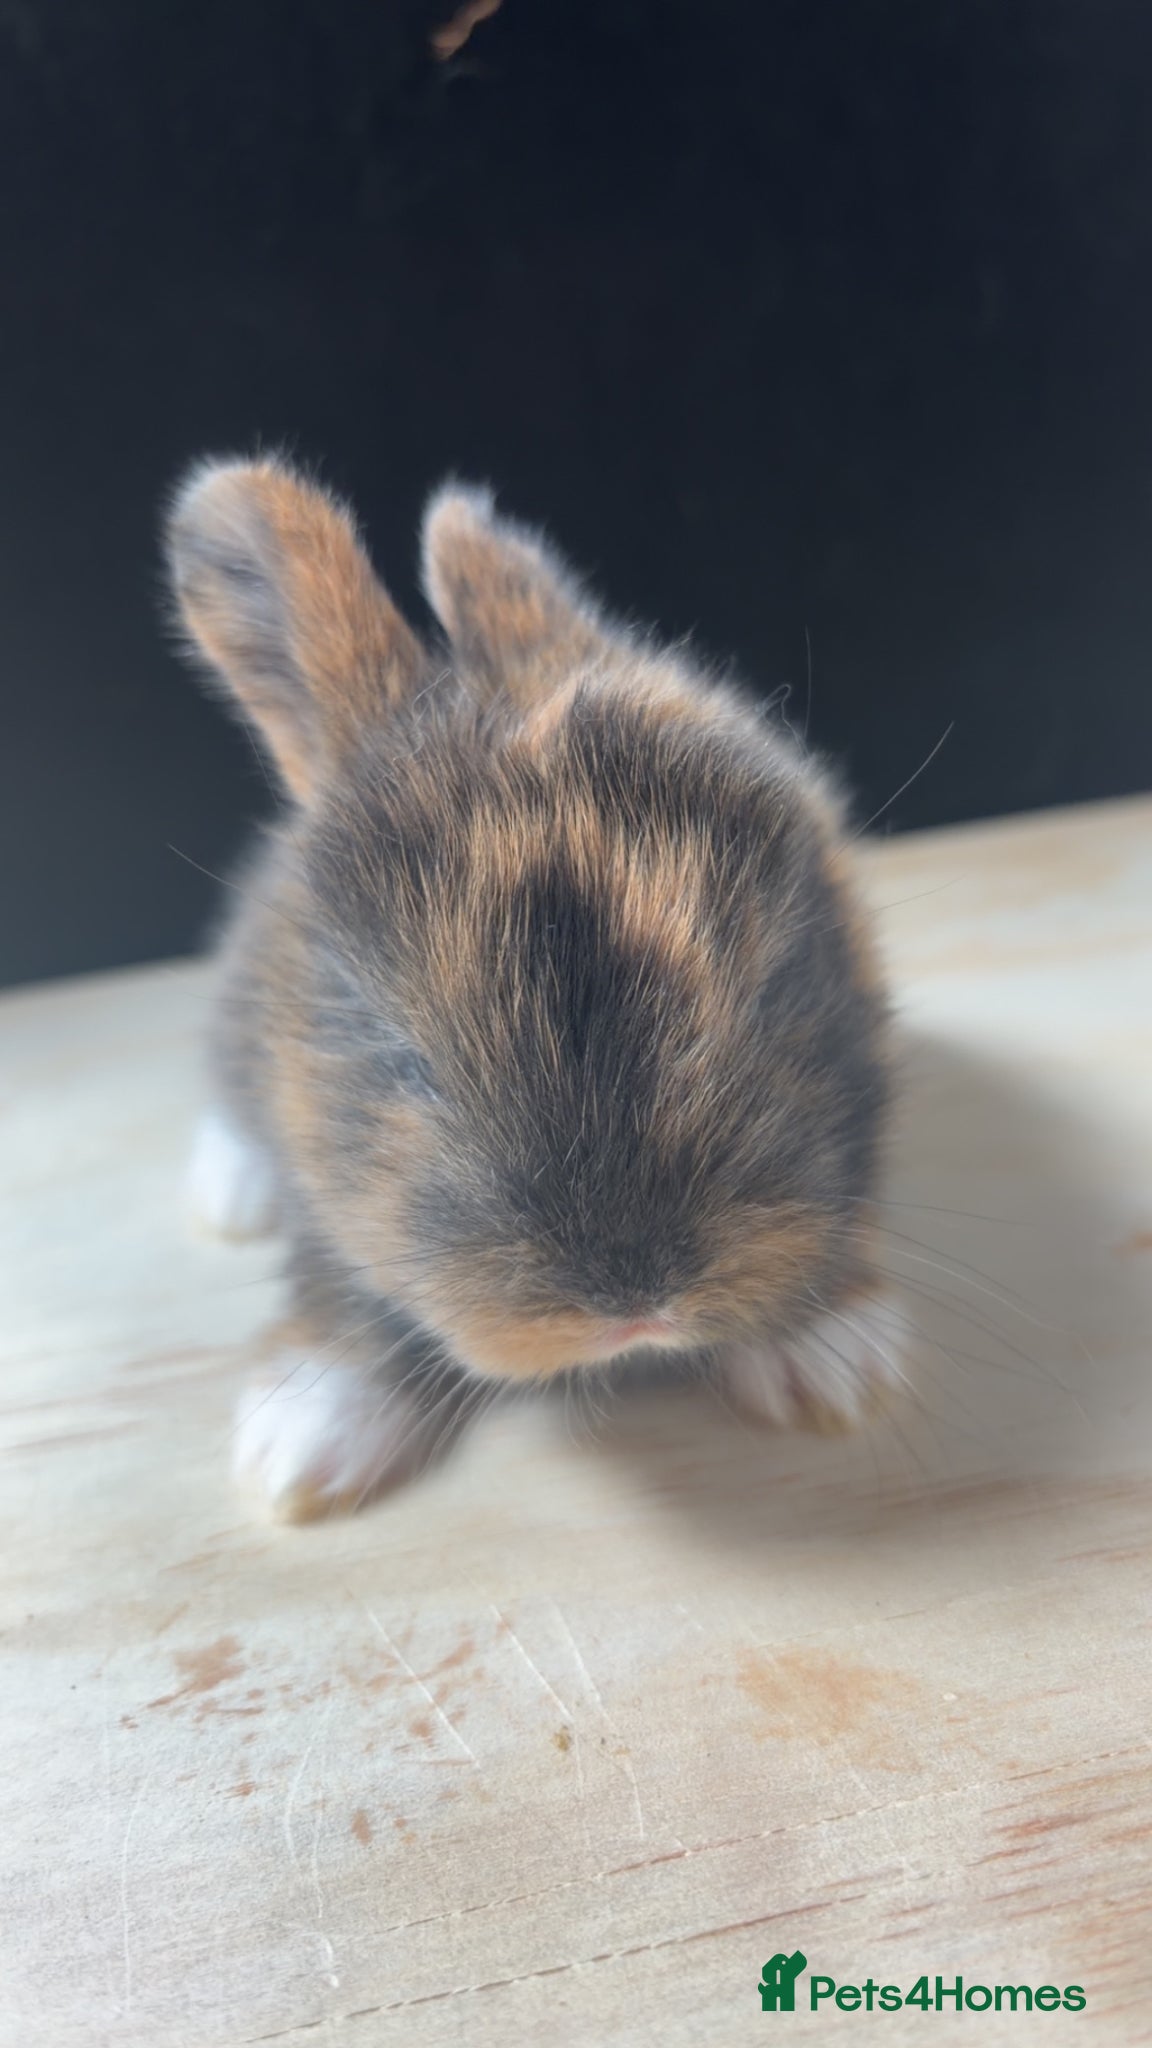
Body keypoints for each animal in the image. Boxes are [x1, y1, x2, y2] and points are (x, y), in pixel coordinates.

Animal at [166, 455, 906, 1521]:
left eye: (776, 994)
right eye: (408, 1065)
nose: (635, 1306)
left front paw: (835, 1365)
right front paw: (301, 1446)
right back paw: (230, 1193)